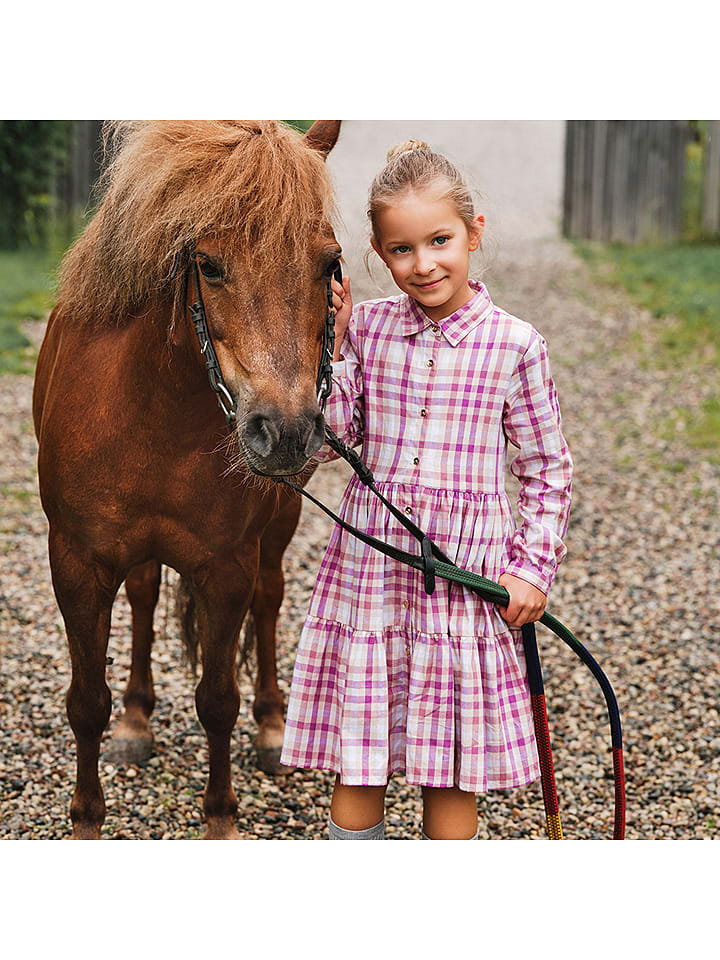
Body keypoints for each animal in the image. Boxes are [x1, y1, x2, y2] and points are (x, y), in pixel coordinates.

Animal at [35, 122, 344, 840]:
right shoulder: (76, 563)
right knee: (145, 597)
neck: (153, 404)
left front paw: (221, 818)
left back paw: (271, 728)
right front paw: (87, 817)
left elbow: (218, 700)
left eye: (328, 264)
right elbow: (85, 702)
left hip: (277, 528)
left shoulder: (225, 567)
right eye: (208, 264)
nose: (286, 431)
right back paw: (136, 719)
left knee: (269, 600)